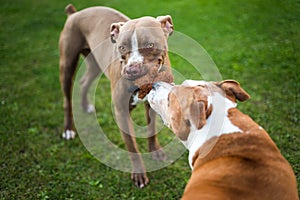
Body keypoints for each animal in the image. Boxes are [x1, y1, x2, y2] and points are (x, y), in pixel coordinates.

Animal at [58, 4, 173, 188]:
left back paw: (85, 105)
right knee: (67, 100)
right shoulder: (121, 112)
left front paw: (155, 151)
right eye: (122, 47)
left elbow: (151, 129)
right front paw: (139, 174)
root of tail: (74, 13)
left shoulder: (151, 104)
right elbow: (132, 145)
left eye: (150, 44)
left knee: (84, 81)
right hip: (67, 64)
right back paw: (68, 129)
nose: (132, 69)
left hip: (94, 63)